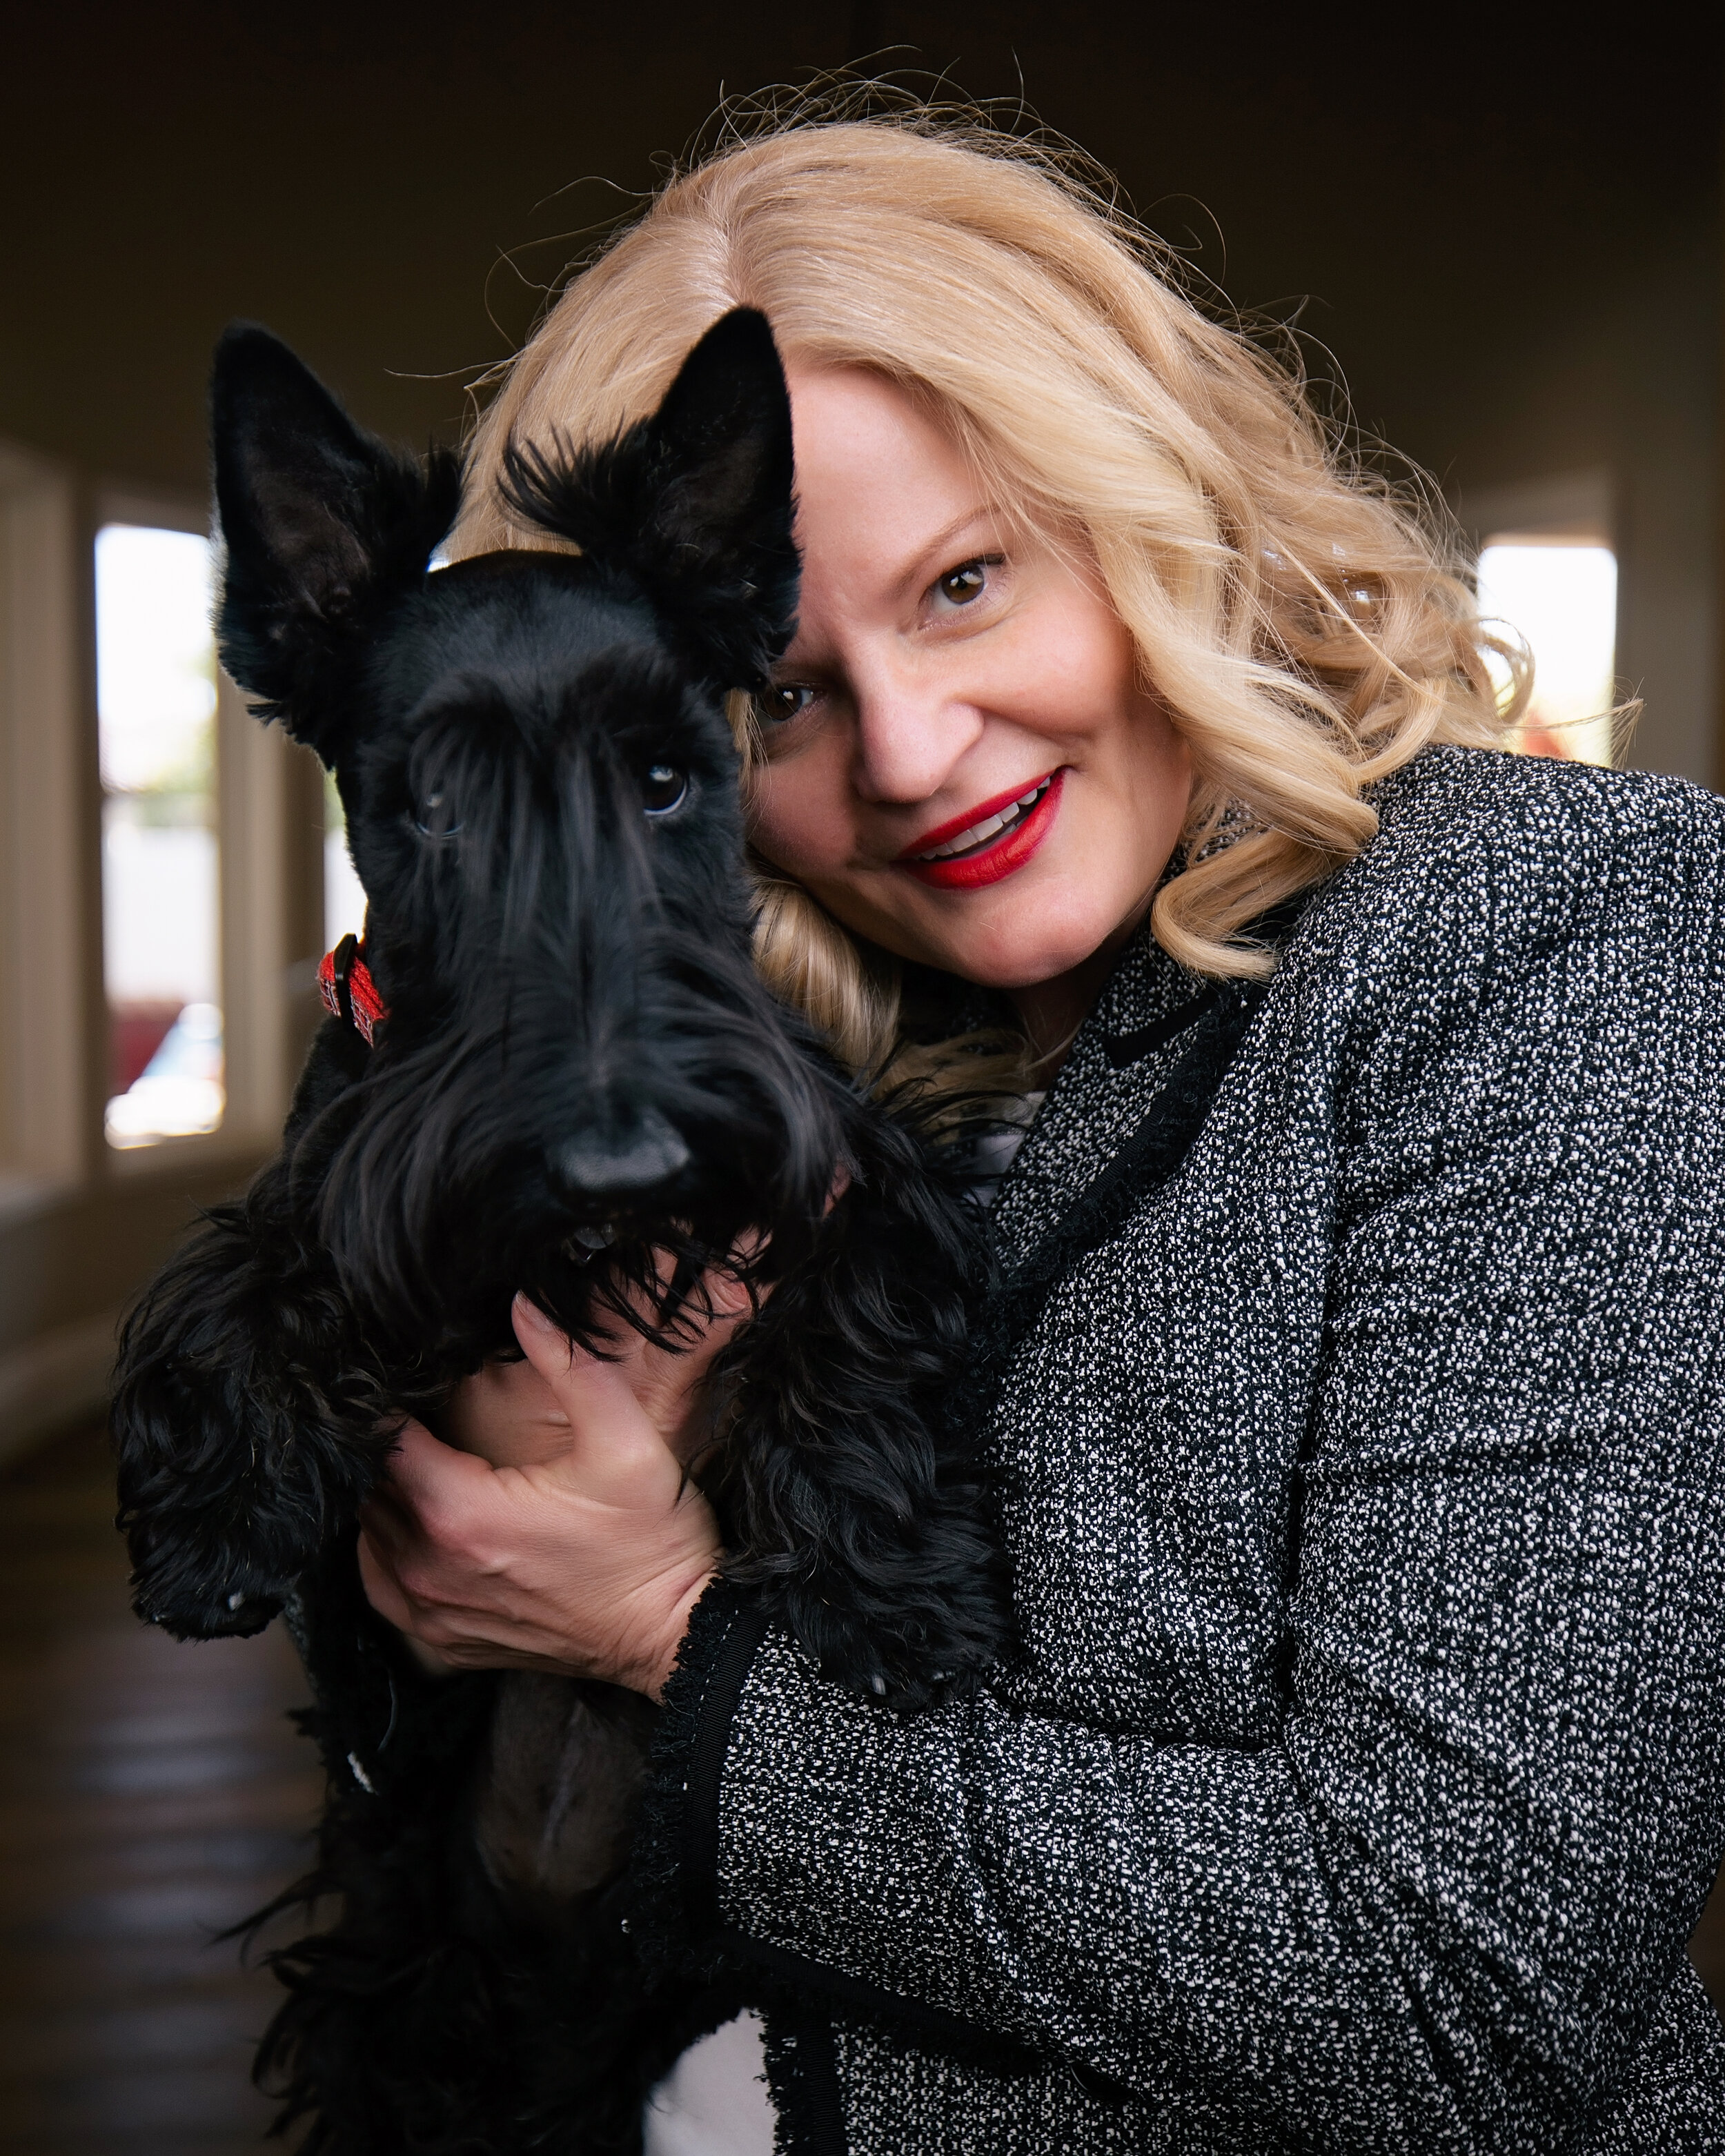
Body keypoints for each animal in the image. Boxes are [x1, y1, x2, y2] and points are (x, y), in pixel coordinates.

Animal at [110, 313, 1009, 2147]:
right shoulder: (347, 1180)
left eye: (666, 777)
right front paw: (219, 1516)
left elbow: (861, 1321)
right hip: (394, 1988)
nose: (619, 1162)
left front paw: (887, 1595)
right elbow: (236, 1270)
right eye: (430, 807)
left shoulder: (849, 1165)